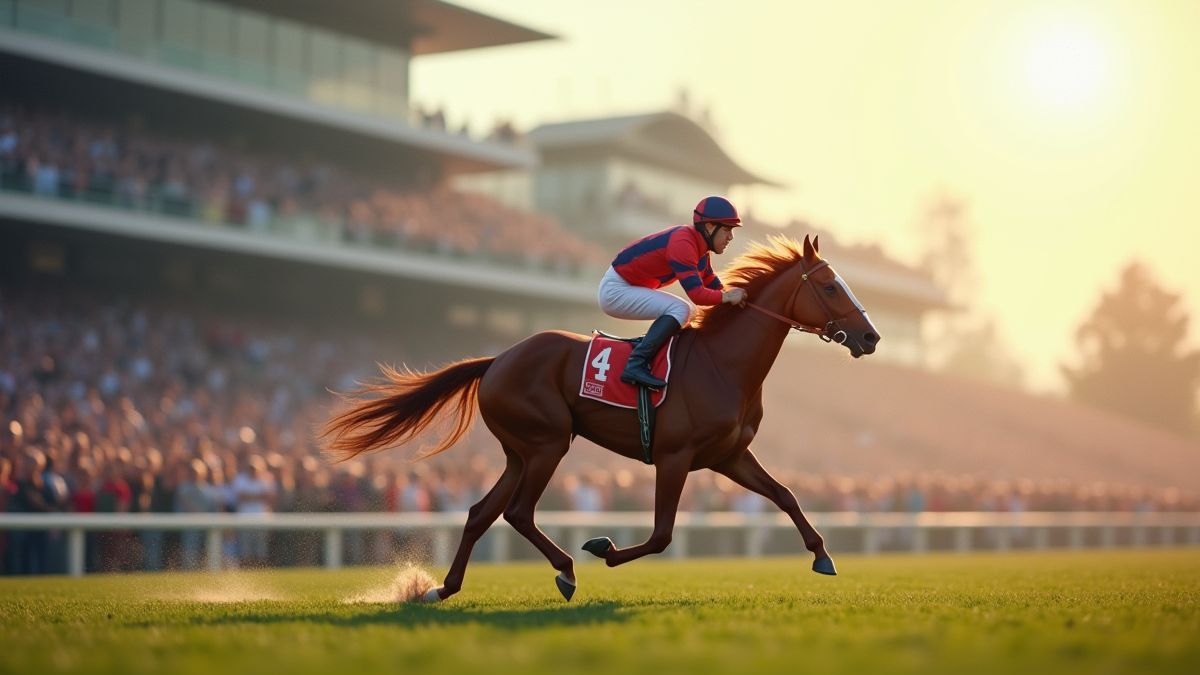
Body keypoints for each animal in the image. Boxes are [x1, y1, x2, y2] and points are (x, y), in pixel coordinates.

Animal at [323, 234, 880, 601]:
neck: (723, 363)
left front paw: (822, 554)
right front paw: (604, 548)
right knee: (518, 512)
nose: (871, 337)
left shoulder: (729, 456)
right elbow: (661, 535)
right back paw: (567, 569)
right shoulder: (674, 457)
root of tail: (497, 359)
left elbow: (785, 495)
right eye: (831, 286)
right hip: (548, 443)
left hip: (520, 451)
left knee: (481, 512)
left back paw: (442, 589)